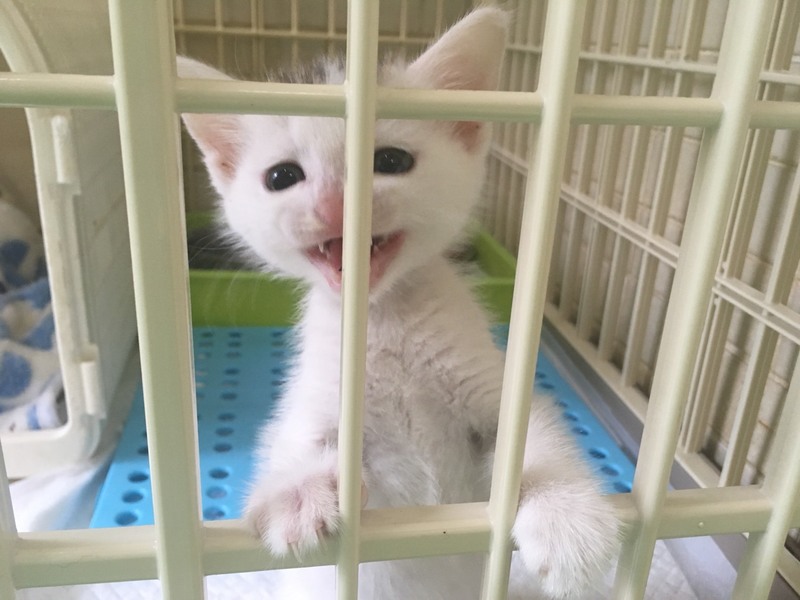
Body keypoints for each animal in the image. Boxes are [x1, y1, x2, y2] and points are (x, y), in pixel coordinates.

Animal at [178, 7, 619, 600]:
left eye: (390, 160)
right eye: (281, 176)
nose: (334, 205)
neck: (383, 319)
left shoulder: (488, 385)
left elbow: (533, 437)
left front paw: (567, 519)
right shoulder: (320, 397)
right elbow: (297, 441)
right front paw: (298, 493)